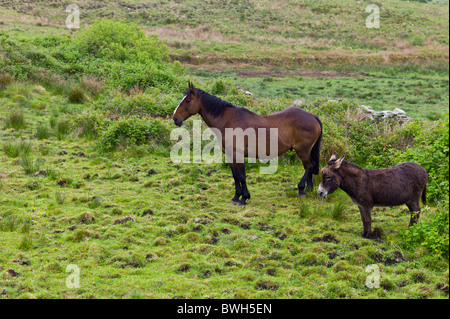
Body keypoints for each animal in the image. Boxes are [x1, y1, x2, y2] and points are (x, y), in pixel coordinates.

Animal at [173, 82, 324, 206]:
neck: (228, 121)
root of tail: (312, 117)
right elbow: (235, 176)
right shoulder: (231, 155)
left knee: (309, 166)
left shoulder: (238, 155)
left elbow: (241, 176)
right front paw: (236, 197)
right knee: (309, 167)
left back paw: (301, 189)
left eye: (187, 100)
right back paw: (308, 189)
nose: (175, 118)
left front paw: (244, 198)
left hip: (302, 151)